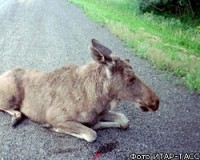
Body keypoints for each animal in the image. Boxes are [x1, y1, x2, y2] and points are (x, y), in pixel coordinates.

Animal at [0, 39, 159, 142]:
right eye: (130, 78)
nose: (155, 102)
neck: (99, 99)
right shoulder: (55, 117)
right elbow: (91, 134)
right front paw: (54, 128)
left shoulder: (102, 113)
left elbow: (124, 120)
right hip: (10, 98)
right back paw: (16, 116)